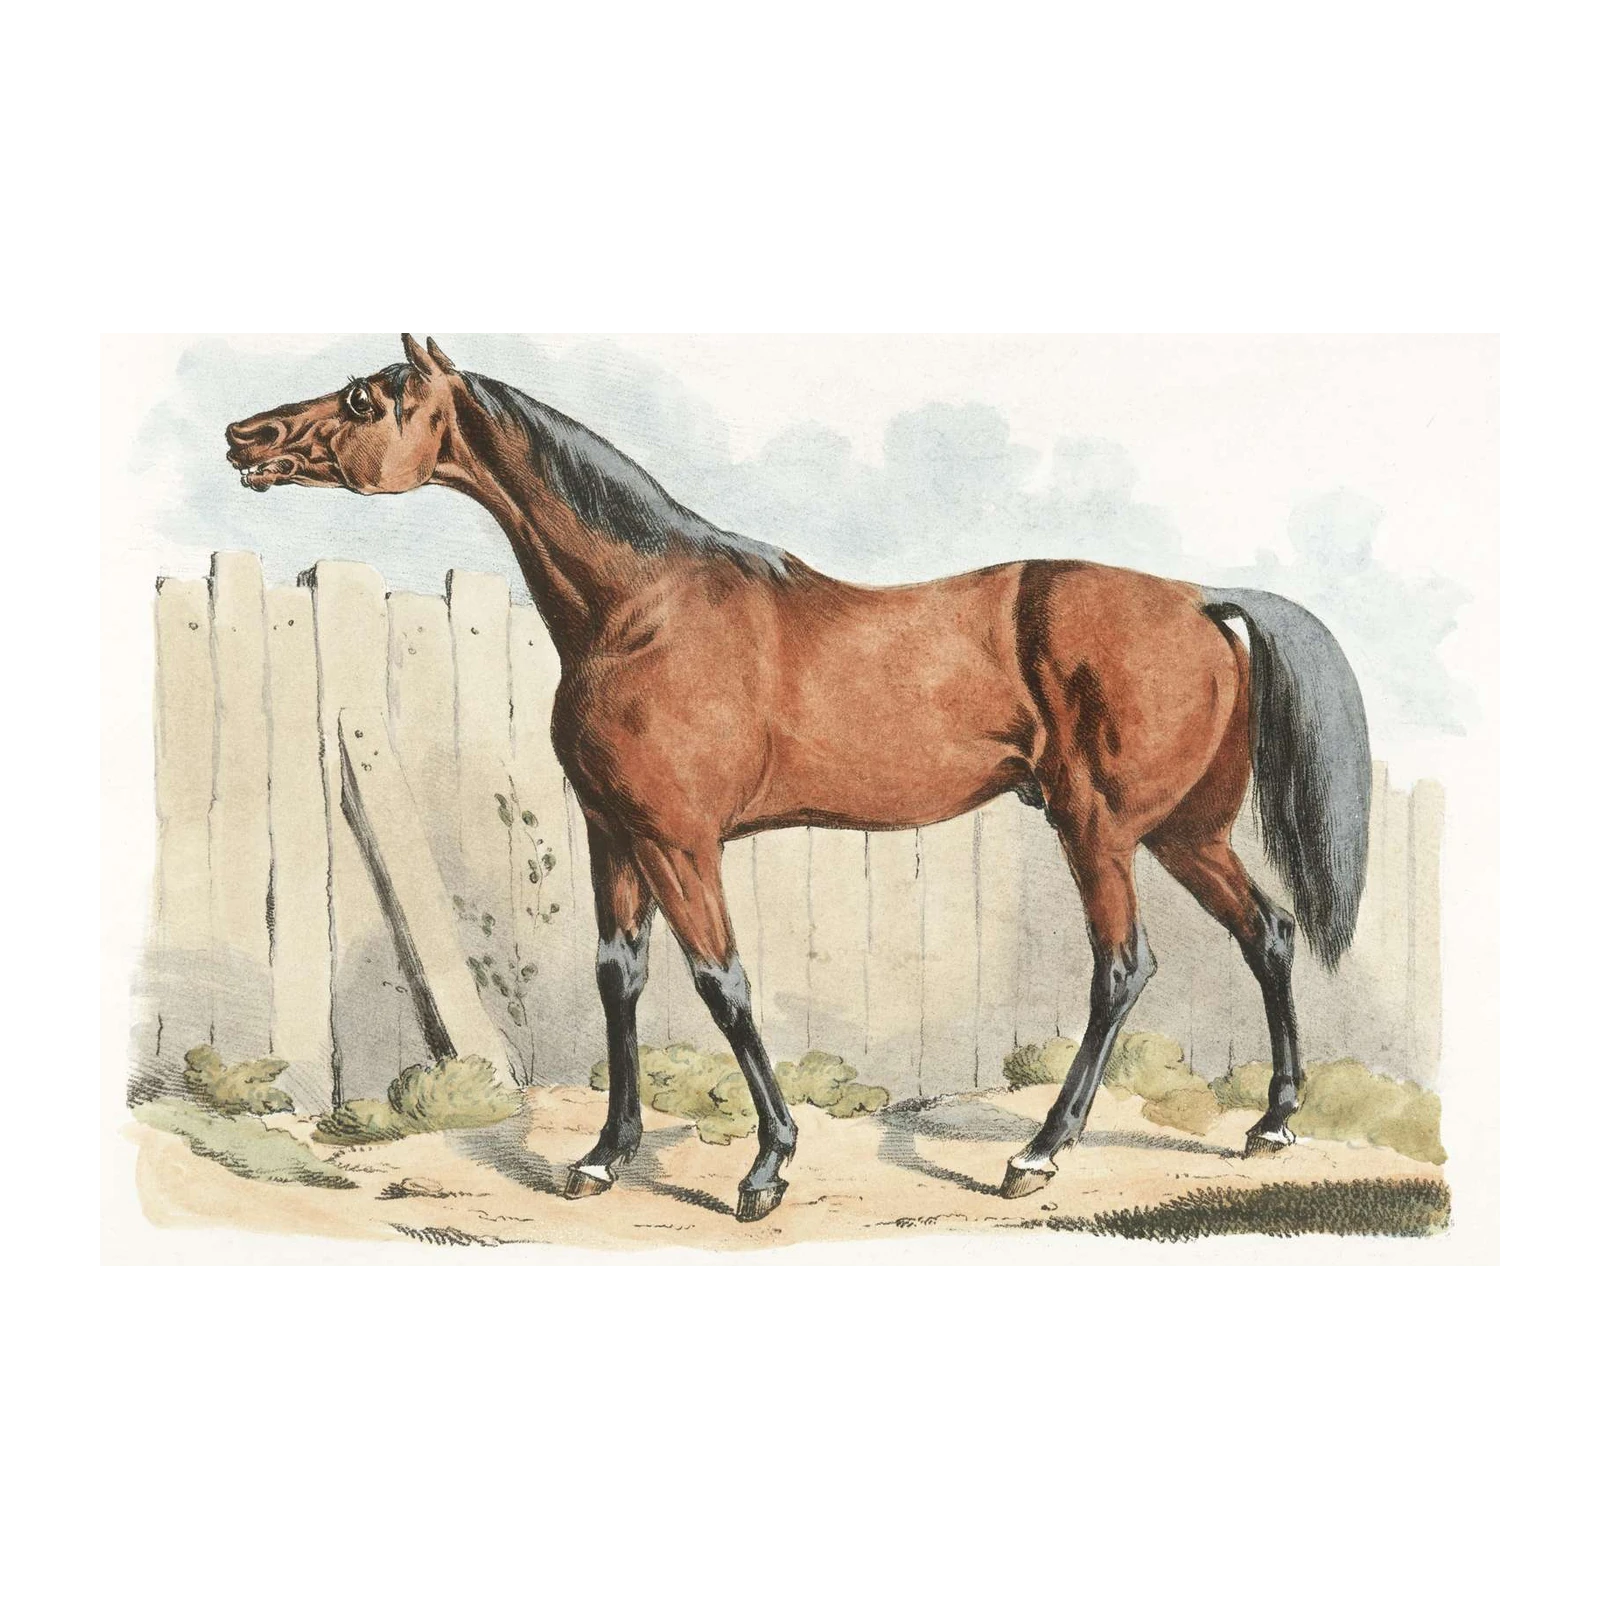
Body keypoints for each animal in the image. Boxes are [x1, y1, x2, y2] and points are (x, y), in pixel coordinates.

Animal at [226, 329, 1371, 1223]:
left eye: (365, 397)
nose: (246, 439)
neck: (645, 608)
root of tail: (1198, 598)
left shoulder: (681, 840)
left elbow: (721, 985)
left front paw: (766, 1168)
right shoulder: (615, 833)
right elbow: (619, 979)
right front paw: (602, 1156)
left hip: (1098, 829)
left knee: (1122, 967)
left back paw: (1038, 1155)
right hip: (1185, 832)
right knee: (1267, 933)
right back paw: (1272, 1124)